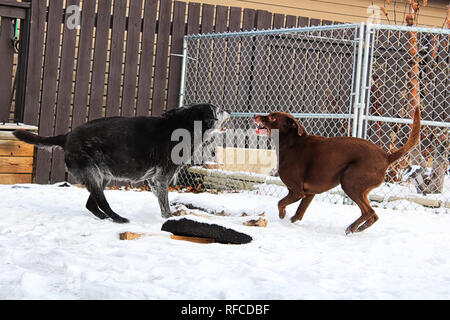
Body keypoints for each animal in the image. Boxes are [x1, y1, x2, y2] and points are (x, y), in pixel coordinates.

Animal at [14, 104, 229, 222]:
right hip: (94, 175)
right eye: (219, 110)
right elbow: (165, 205)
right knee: (101, 202)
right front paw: (169, 217)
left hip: (102, 177)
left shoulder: (153, 181)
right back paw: (118, 219)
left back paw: (107, 219)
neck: (185, 125)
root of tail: (66, 137)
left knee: (91, 204)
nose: (228, 110)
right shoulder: (161, 179)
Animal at [255, 107, 420, 235]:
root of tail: (386, 156)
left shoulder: (297, 192)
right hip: (360, 189)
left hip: (349, 182)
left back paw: (351, 228)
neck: (291, 144)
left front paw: (282, 215)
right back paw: (359, 228)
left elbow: (280, 203)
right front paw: (289, 220)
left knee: (369, 212)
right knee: (373, 215)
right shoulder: (309, 193)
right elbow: (298, 214)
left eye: (271, 117)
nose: (255, 115)